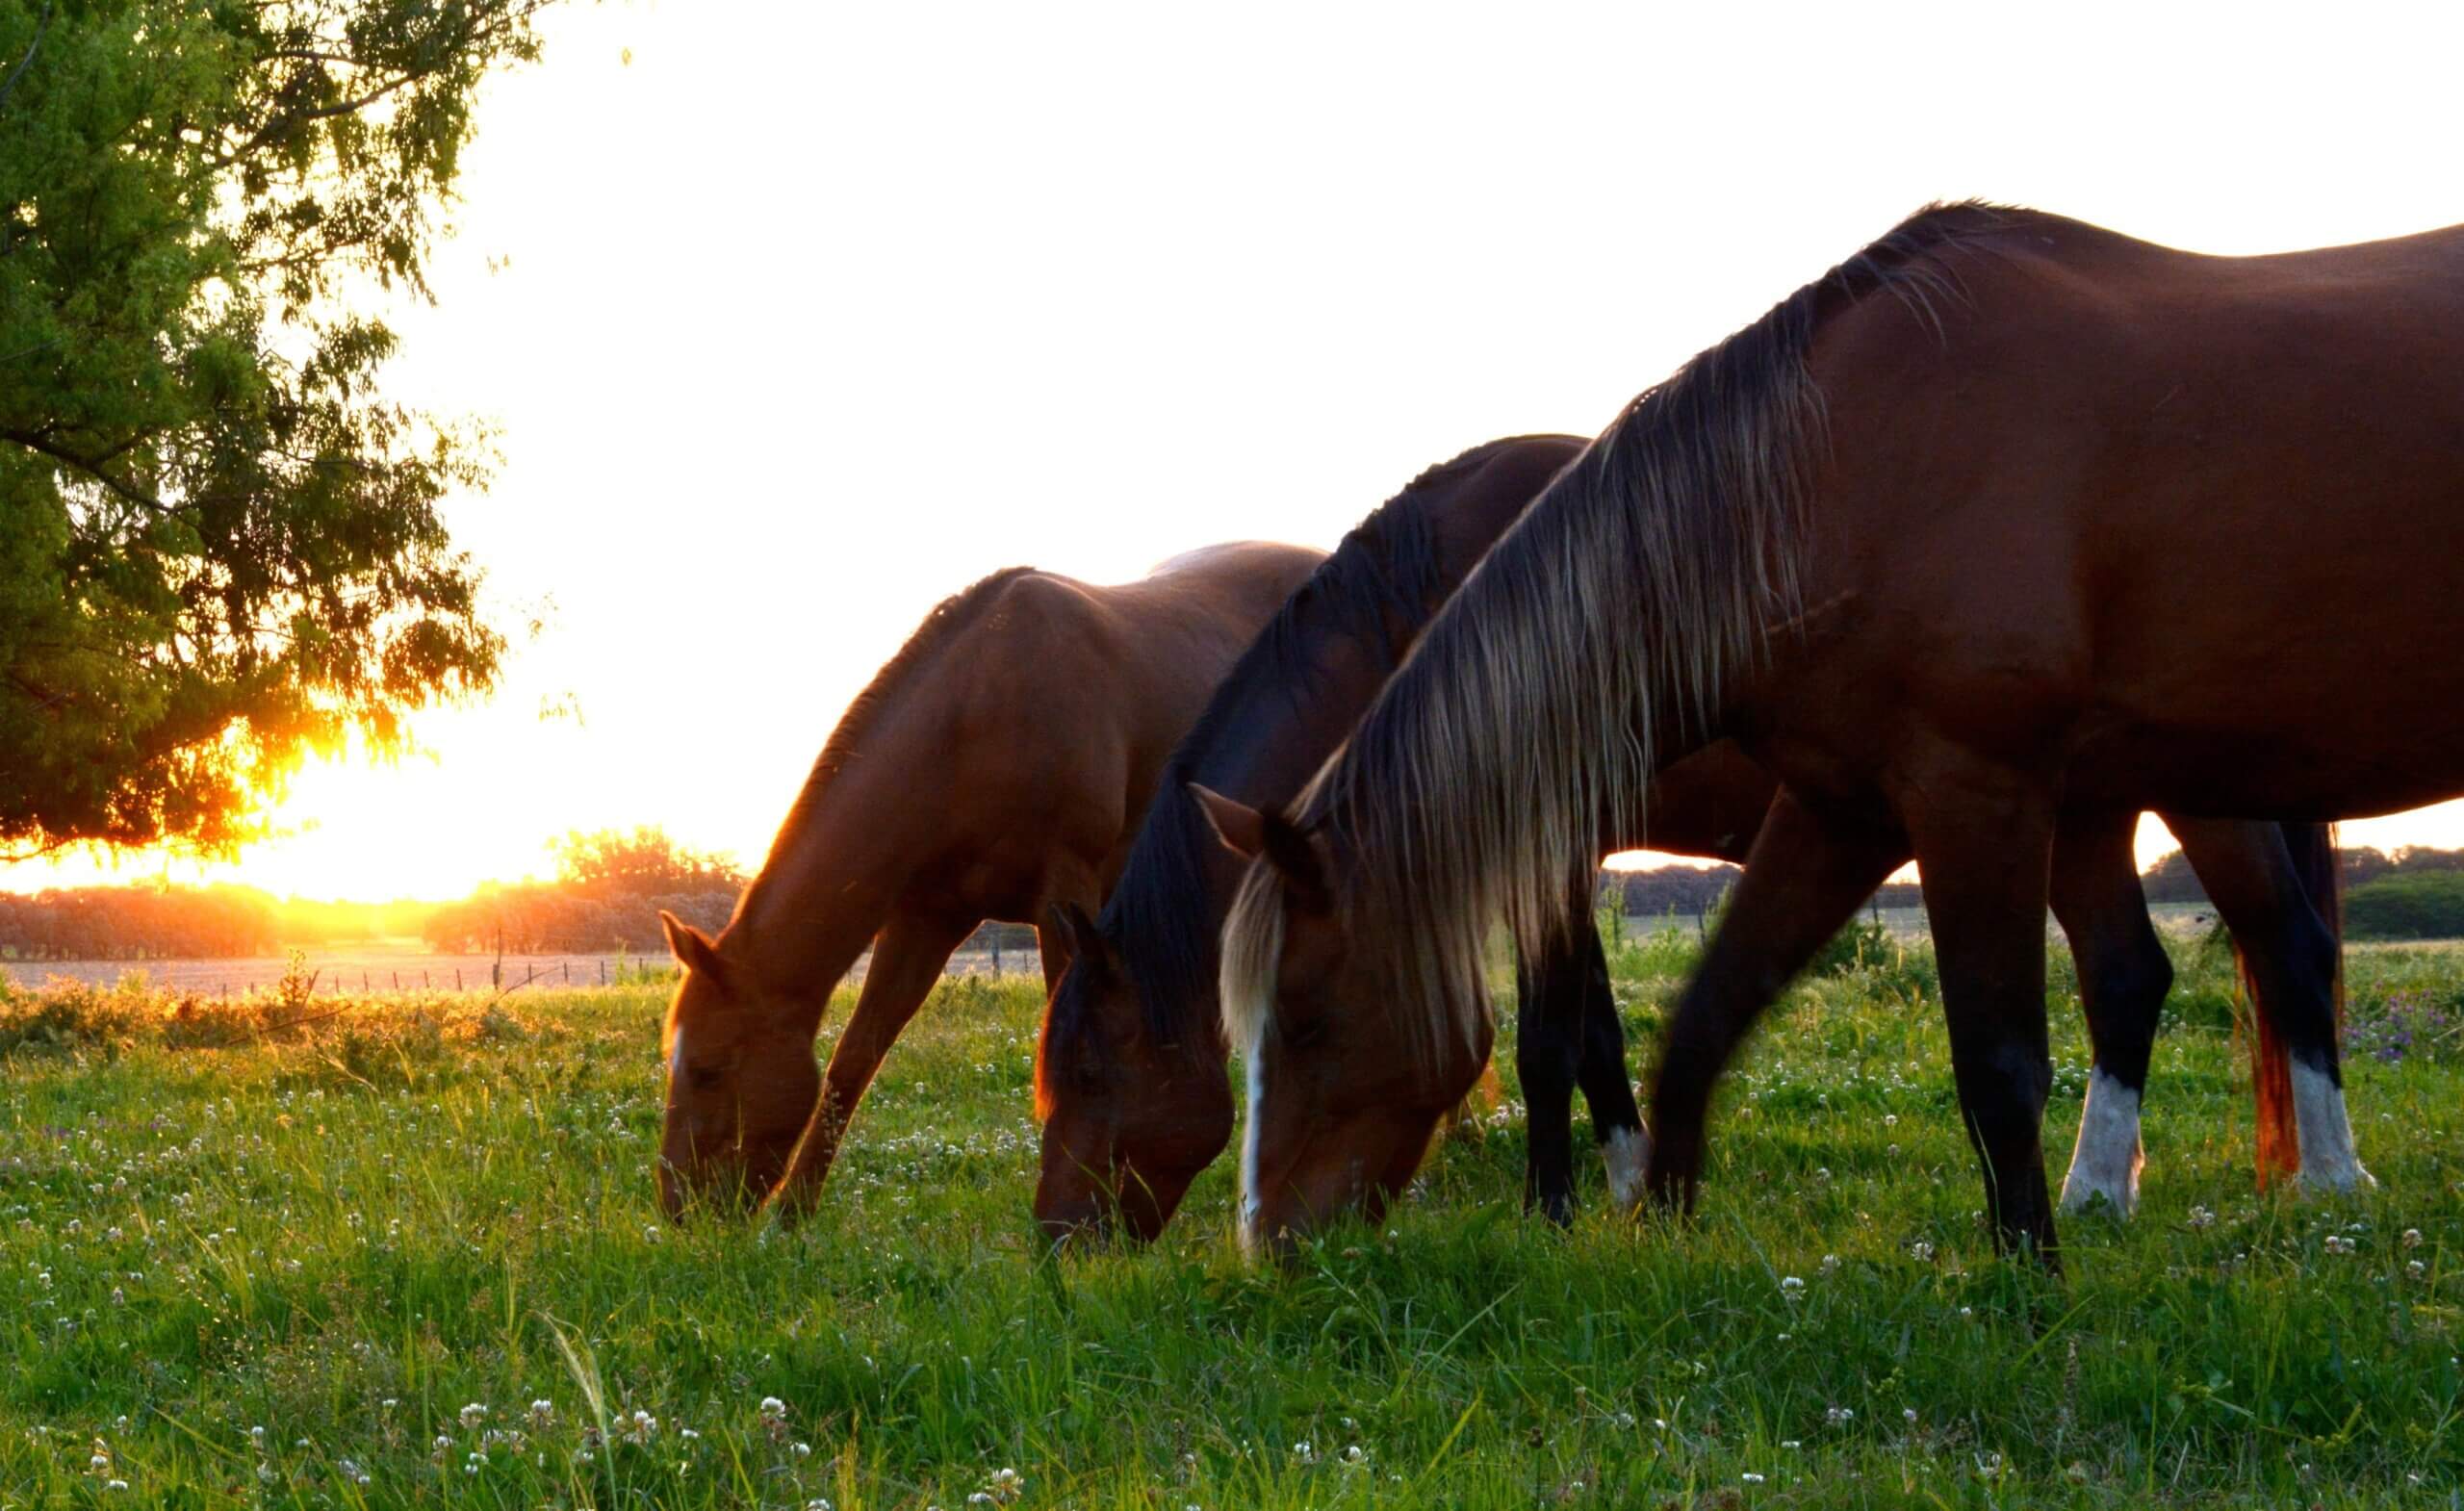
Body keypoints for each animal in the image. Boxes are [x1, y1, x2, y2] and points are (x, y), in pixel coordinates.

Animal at [654, 540, 1322, 1220]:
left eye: (707, 1069)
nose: (678, 1208)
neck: (976, 718)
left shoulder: (1065, 896)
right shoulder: (926, 917)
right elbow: (854, 1059)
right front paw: (792, 1216)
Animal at [1038, 441, 2344, 1244]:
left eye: (1092, 1072)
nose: (1057, 1245)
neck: (1440, 603)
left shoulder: (1548, 844)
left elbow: (1552, 1040)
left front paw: (1555, 1209)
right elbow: (1599, 1034)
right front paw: (1630, 1181)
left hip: (2188, 799)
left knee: (2281, 945)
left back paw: (2329, 1182)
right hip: (2080, 809)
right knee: (2130, 973)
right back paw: (2097, 1192)